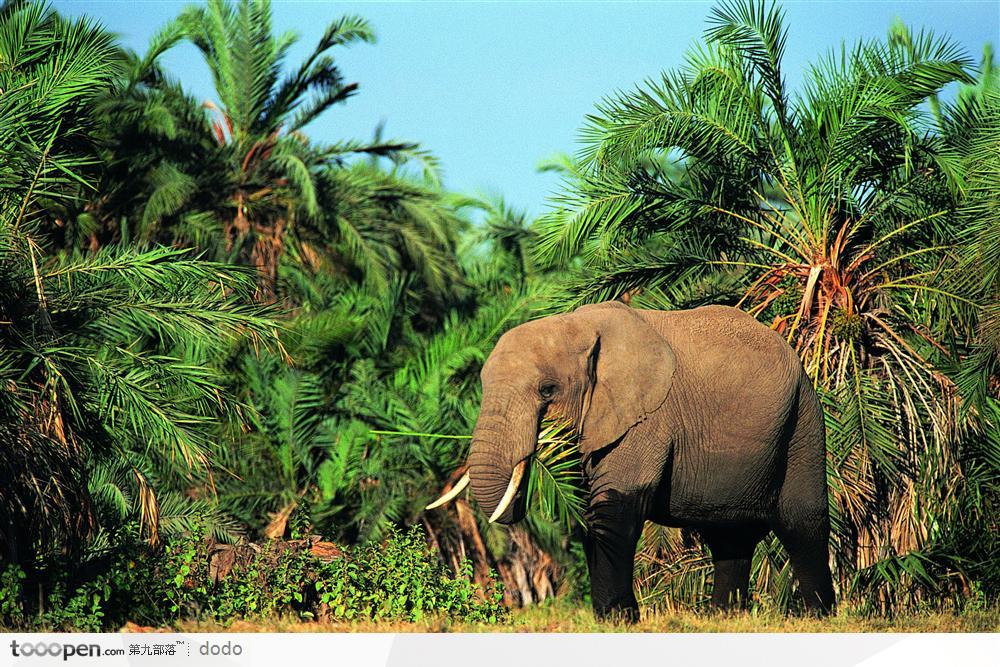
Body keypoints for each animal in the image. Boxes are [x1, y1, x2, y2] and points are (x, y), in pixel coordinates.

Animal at [430, 302, 836, 620]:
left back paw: (819, 616)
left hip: (803, 419)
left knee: (801, 520)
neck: (577, 325)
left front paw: (617, 620)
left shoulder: (647, 417)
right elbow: (588, 510)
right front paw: (609, 617)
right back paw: (725, 617)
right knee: (729, 536)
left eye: (547, 390)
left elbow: (613, 507)